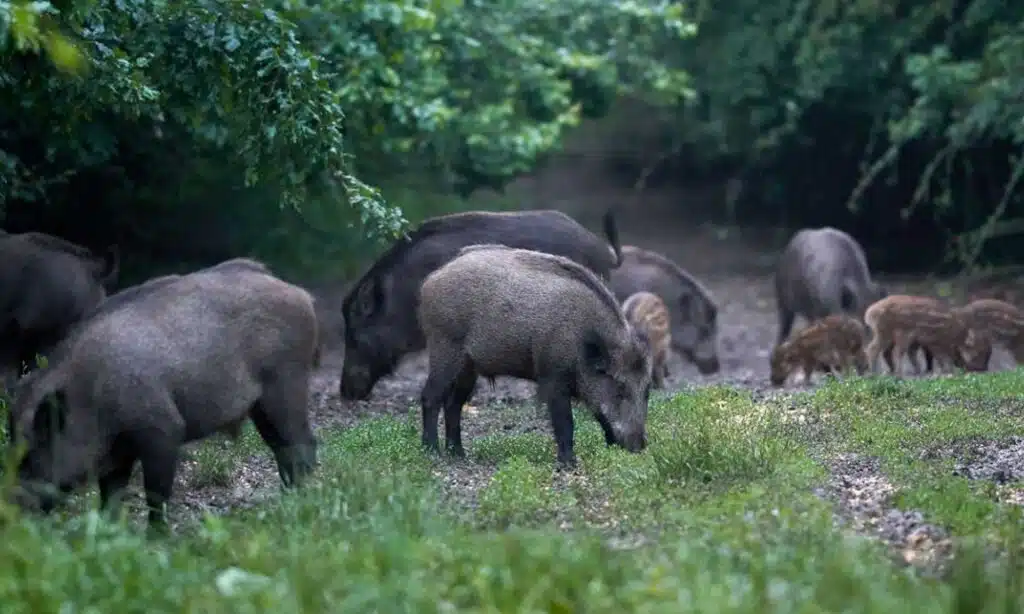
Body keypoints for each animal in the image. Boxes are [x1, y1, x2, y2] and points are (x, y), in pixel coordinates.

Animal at [6, 258, 320, 530]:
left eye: (32, 452)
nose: (12, 510)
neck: (90, 394)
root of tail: (302, 295)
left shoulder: (162, 430)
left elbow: (155, 494)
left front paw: (155, 537)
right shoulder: (117, 454)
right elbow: (111, 496)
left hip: (285, 384)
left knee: (302, 444)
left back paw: (298, 504)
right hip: (263, 405)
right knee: (282, 448)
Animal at [417, 244, 652, 468]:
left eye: (647, 391)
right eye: (620, 387)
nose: (639, 447)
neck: (583, 338)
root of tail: (431, 280)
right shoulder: (552, 376)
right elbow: (565, 422)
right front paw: (569, 464)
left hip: (468, 368)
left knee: (453, 404)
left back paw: (458, 454)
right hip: (444, 348)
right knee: (430, 396)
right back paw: (432, 452)